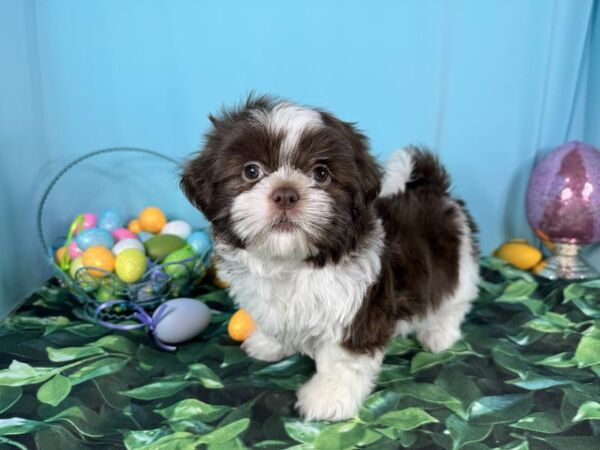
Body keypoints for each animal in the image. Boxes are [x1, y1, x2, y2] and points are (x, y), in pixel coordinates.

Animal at [181, 95, 480, 421]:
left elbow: (343, 360)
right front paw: (269, 343)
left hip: (458, 268)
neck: (292, 262)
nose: (285, 194)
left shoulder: (359, 311)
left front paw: (328, 398)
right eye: (251, 171)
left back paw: (439, 332)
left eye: (321, 173)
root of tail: (434, 190)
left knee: (453, 302)